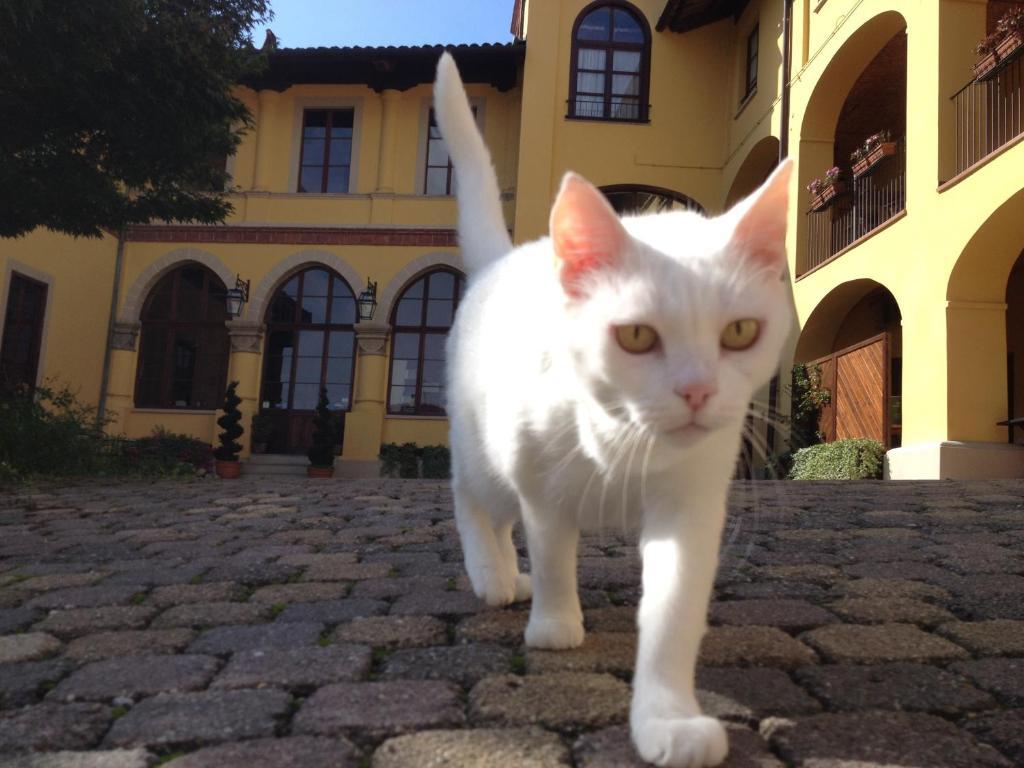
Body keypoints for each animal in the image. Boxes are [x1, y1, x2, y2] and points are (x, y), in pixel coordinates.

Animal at [432, 54, 790, 768]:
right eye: (637, 337)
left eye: (740, 333)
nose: (696, 390)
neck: (623, 437)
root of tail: (501, 261)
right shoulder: (541, 488)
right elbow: (552, 557)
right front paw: (554, 624)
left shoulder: (689, 507)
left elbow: (673, 615)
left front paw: (667, 719)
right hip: (486, 456)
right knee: (473, 501)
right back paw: (493, 574)